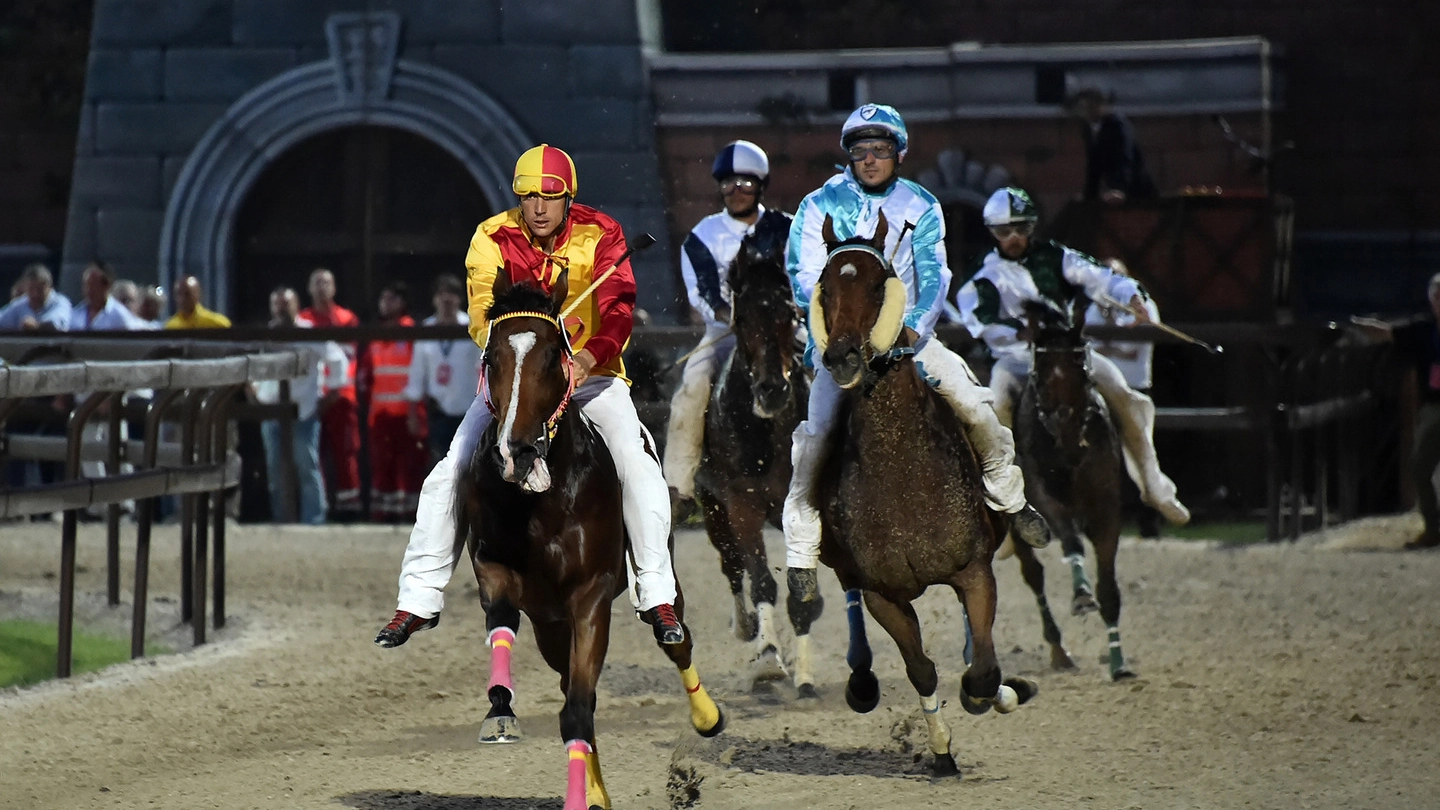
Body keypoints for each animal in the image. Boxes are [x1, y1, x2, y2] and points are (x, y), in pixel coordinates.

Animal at [455, 270, 725, 807]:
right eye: (491, 359)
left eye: (551, 355)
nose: (515, 451)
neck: (540, 503)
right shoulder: (498, 571)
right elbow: (504, 623)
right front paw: (500, 710)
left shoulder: (591, 596)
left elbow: (579, 706)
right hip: (550, 625)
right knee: (571, 686)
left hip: (656, 581)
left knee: (675, 639)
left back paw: (706, 716)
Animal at [694, 234, 812, 694]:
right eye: (741, 318)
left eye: (791, 314)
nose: (772, 389)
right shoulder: (741, 507)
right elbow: (761, 579)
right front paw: (768, 658)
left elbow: (801, 587)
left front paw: (803, 672)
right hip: (713, 514)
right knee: (732, 568)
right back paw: (746, 627)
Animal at [1013, 296, 1134, 674]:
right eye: (1040, 368)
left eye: (1079, 364)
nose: (1063, 428)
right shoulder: (1045, 501)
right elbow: (1070, 540)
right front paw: (1081, 596)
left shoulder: (1108, 510)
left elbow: (1109, 588)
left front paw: (1118, 662)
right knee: (1033, 574)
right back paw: (1058, 650)